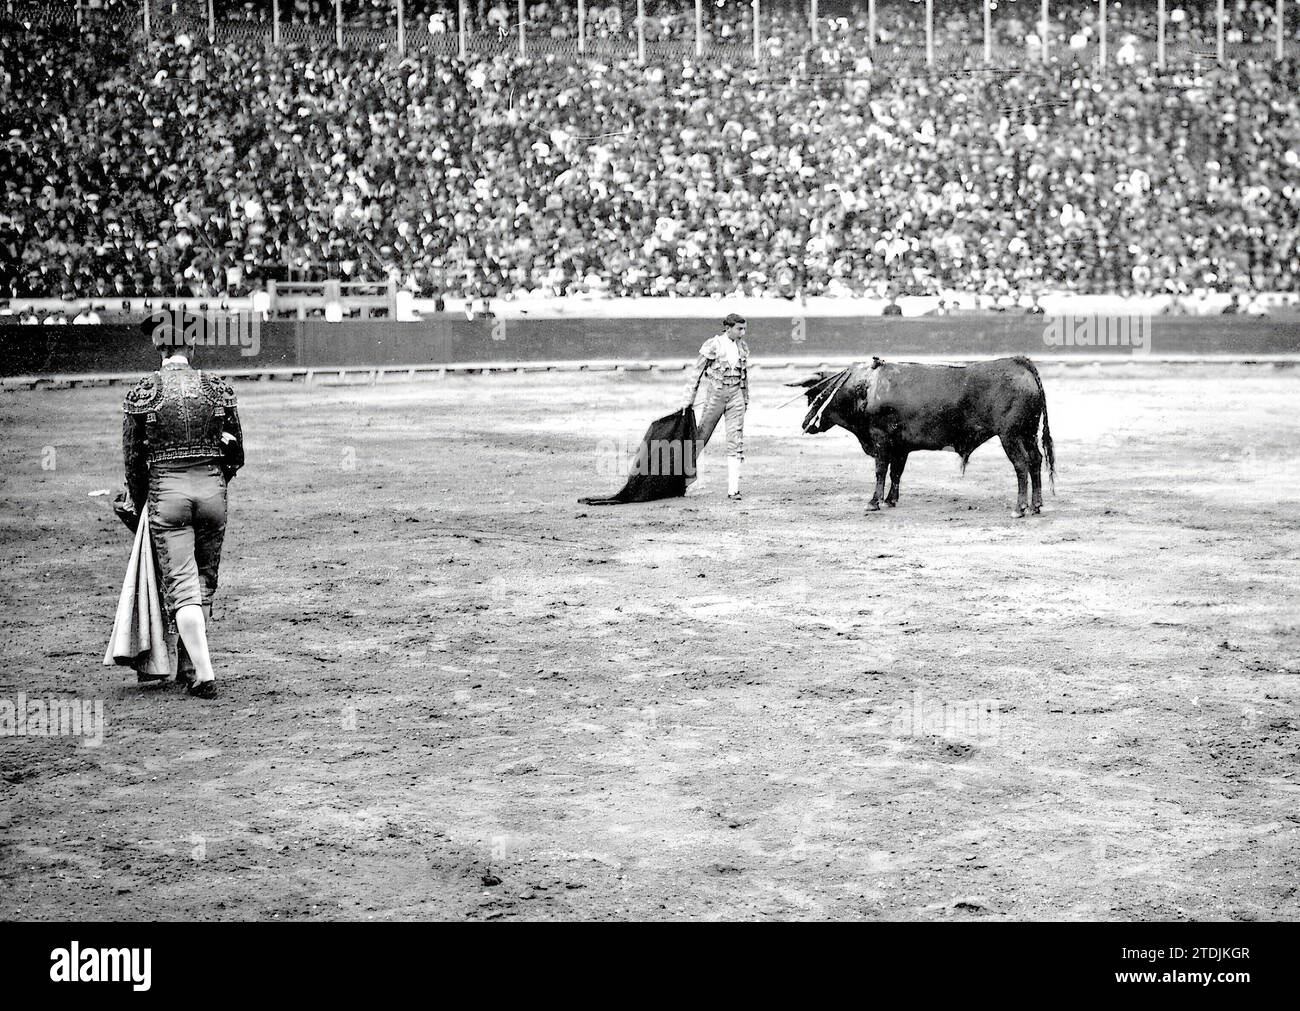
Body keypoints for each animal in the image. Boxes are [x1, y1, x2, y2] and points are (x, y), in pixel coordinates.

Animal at [790, 353, 1055, 517]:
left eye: (815, 395)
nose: (805, 423)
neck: (867, 388)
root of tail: (1019, 362)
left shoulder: (881, 439)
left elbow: (880, 470)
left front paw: (873, 502)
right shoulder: (900, 446)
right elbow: (896, 472)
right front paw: (890, 500)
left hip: (1010, 435)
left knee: (1021, 464)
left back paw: (1019, 508)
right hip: (1027, 433)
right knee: (1035, 460)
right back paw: (1036, 505)